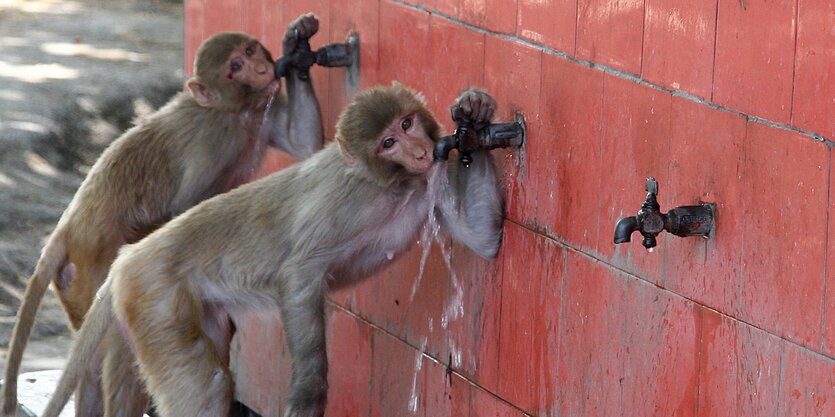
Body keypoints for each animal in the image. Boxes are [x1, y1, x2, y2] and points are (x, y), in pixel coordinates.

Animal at [3, 14, 328, 416]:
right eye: (235, 67)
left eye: (251, 51)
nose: (262, 68)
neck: (233, 111)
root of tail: (66, 227)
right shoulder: (211, 144)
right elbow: (181, 210)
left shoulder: (263, 112)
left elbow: (304, 142)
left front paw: (297, 43)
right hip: (91, 265)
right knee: (119, 341)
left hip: (73, 283)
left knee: (94, 358)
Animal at [37, 83, 502, 416]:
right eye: (388, 143)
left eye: (406, 125)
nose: (422, 150)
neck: (392, 185)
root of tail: (128, 258)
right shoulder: (348, 207)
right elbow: (299, 274)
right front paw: (307, 396)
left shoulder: (429, 184)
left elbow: (483, 238)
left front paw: (474, 115)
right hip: (153, 292)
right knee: (207, 388)